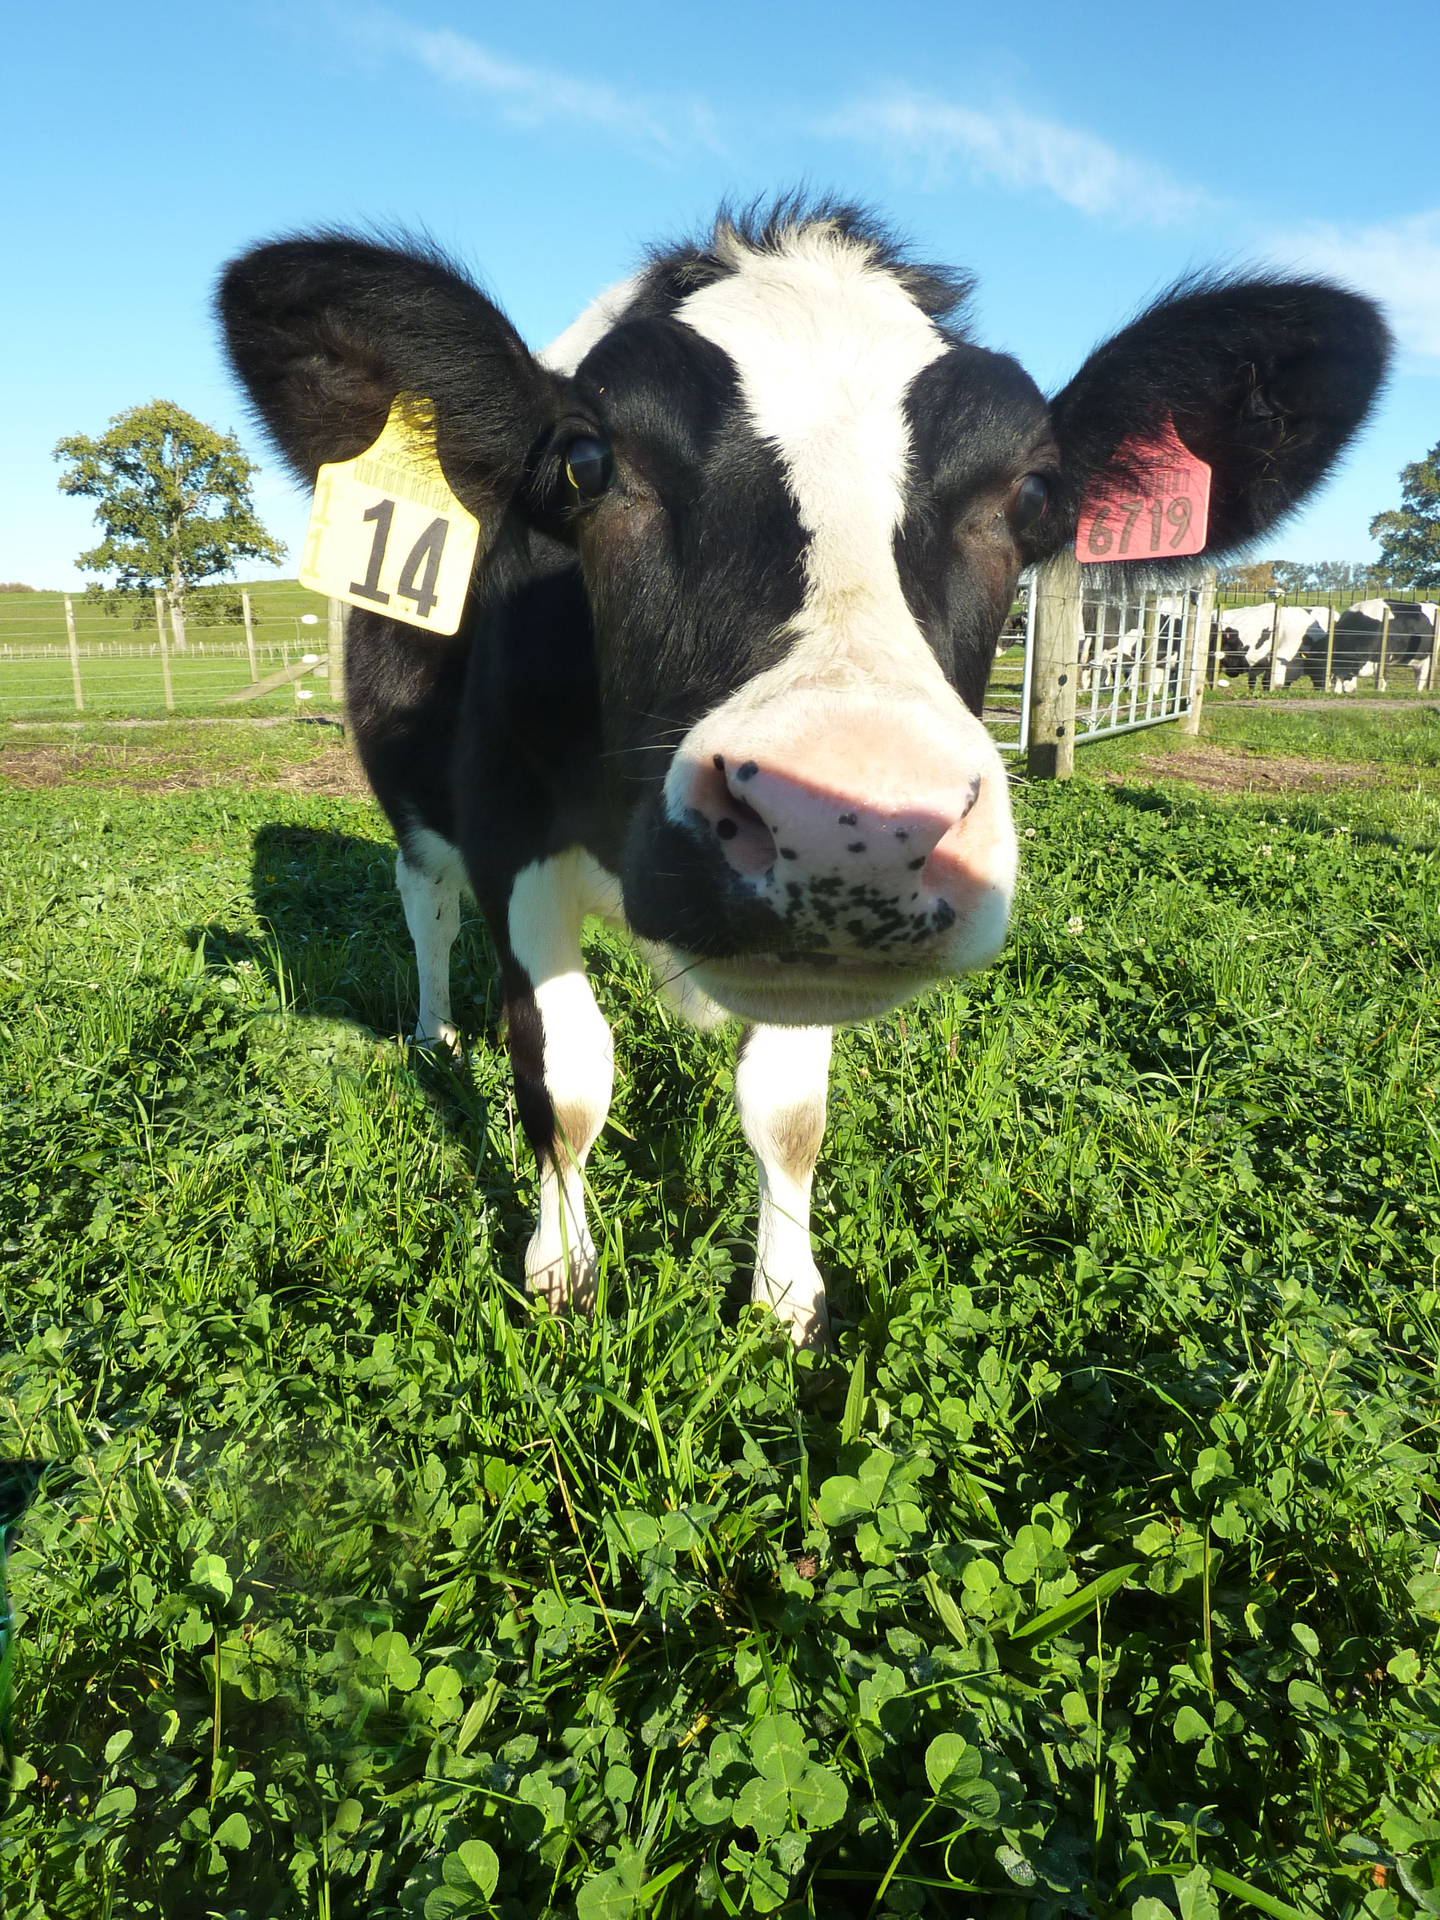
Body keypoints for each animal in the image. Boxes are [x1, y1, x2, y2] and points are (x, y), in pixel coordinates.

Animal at [219, 200, 1388, 1348]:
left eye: (1035, 495)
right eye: (586, 464)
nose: (850, 822)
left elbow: (786, 1111)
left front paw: (788, 1299)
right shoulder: (513, 834)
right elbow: (567, 1079)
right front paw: (562, 1274)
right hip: (415, 803)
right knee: (426, 909)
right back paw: (435, 1032)